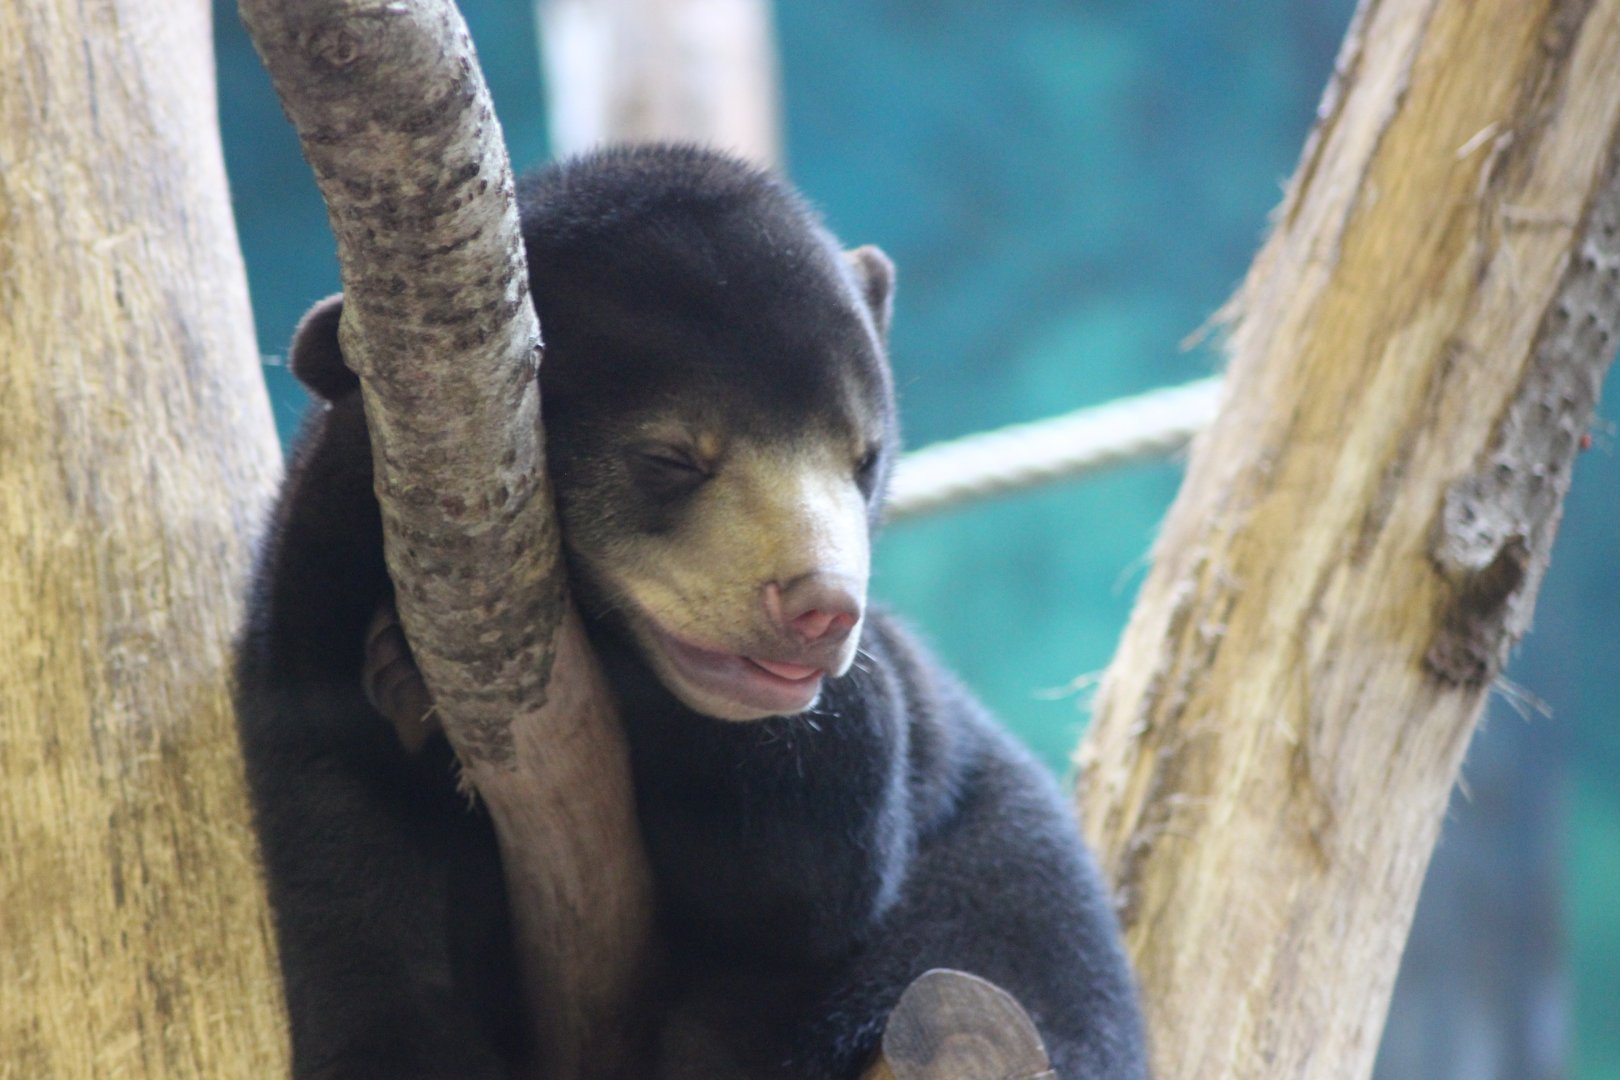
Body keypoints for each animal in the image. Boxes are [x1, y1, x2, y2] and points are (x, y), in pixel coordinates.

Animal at [234, 143, 1147, 1079]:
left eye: (865, 459)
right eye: (670, 459)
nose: (823, 608)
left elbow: (808, 877)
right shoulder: (312, 693)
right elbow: (377, 961)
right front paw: (404, 683)